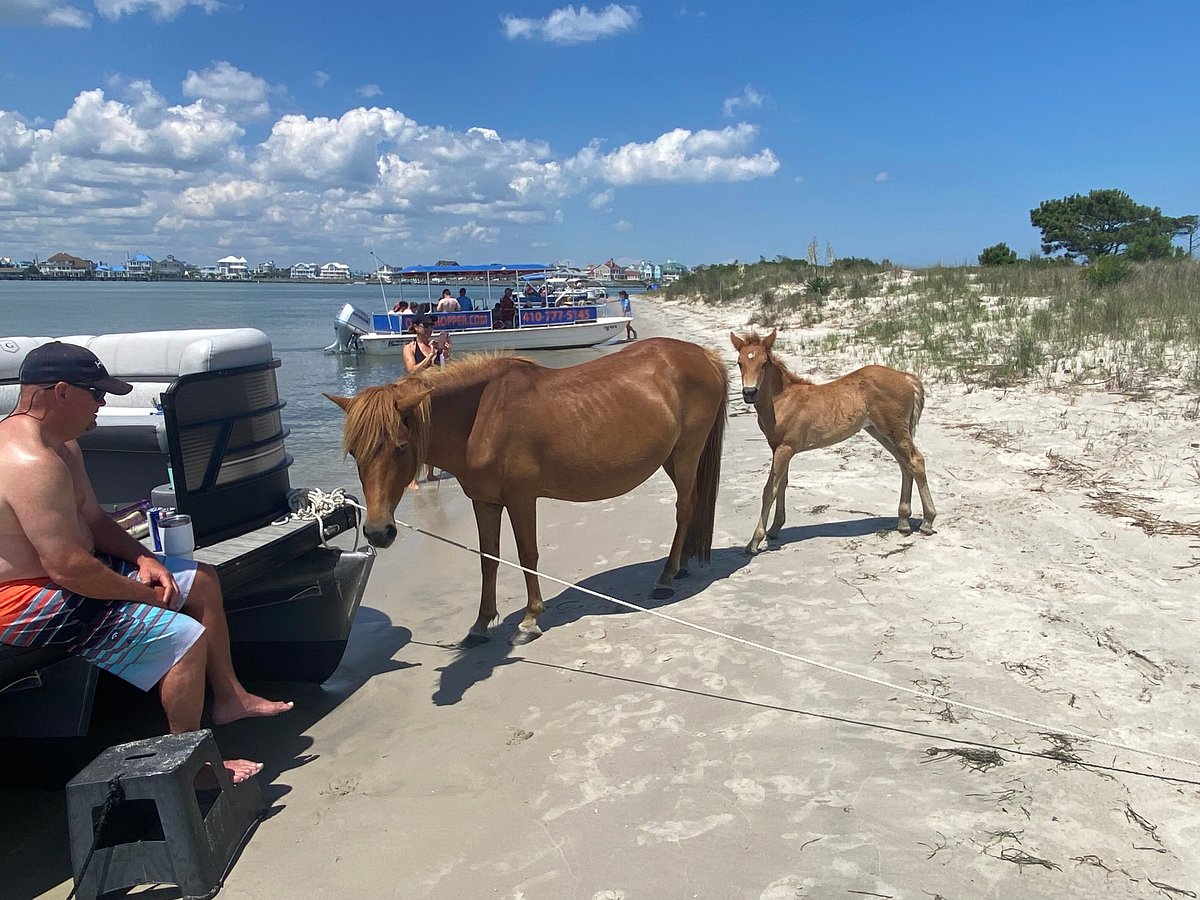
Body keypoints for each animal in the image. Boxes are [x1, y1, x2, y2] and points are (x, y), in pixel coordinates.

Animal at [326, 338, 728, 644]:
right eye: (355, 452)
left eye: (400, 447)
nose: (378, 532)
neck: (482, 417)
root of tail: (703, 355)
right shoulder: (484, 501)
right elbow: (489, 558)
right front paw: (480, 624)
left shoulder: (521, 499)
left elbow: (526, 555)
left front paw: (530, 619)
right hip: (672, 458)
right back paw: (683, 564)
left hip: (687, 451)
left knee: (684, 507)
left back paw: (666, 577)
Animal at [730, 329, 936, 553]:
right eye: (740, 362)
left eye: (764, 363)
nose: (749, 393)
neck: (782, 400)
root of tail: (906, 377)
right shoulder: (780, 448)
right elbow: (782, 483)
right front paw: (775, 528)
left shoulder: (784, 448)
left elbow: (770, 489)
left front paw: (754, 541)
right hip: (880, 431)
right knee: (904, 464)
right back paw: (904, 522)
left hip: (894, 429)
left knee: (916, 461)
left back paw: (927, 522)